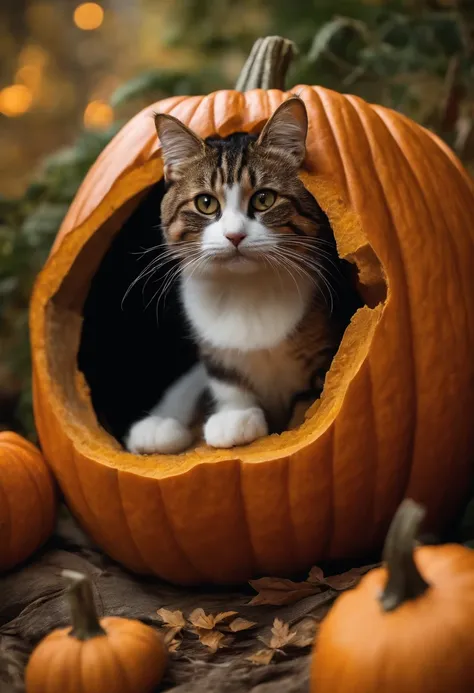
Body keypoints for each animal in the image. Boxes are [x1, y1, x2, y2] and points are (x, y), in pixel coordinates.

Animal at [126, 97, 348, 454]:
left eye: (264, 198)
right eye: (205, 203)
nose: (234, 235)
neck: (245, 286)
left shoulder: (324, 353)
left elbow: (308, 407)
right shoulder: (216, 355)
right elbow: (227, 386)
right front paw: (235, 416)